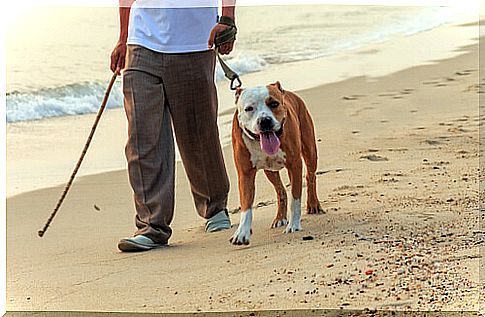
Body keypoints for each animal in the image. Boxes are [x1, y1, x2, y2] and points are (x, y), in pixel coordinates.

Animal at [230, 81, 324, 244]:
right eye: (249, 108)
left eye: (274, 104)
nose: (264, 121)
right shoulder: (245, 174)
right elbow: (246, 205)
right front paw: (242, 232)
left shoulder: (295, 165)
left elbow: (295, 198)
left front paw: (294, 225)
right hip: (270, 171)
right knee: (280, 190)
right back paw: (280, 218)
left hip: (310, 151)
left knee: (310, 176)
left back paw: (313, 204)